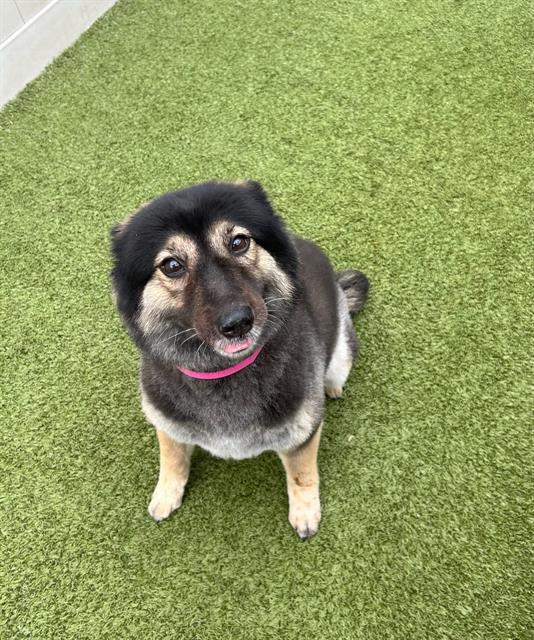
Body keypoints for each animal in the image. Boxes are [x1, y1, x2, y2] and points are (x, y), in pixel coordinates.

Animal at [111, 181, 370, 540]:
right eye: (172, 265)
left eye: (238, 242)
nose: (237, 323)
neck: (223, 373)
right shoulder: (167, 422)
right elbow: (172, 459)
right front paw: (166, 494)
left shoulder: (302, 432)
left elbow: (302, 475)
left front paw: (305, 513)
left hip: (341, 353)